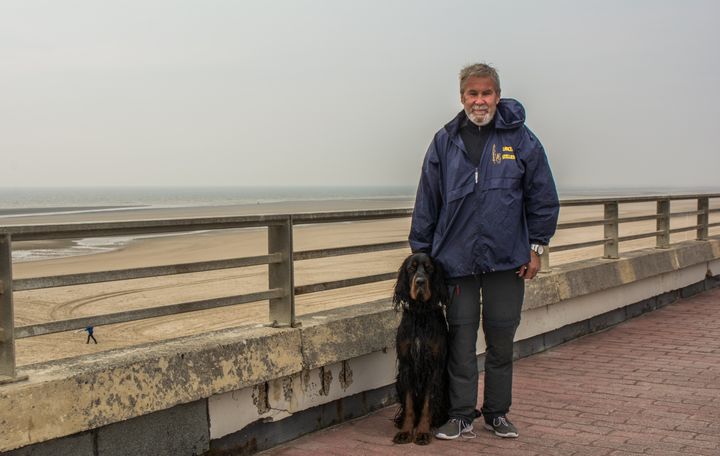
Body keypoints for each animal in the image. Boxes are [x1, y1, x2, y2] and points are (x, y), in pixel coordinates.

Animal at [390, 251, 448, 444]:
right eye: (411, 269)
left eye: (429, 268)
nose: (420, 282)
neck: (421, 313)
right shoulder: (406, 365)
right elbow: (409, 404)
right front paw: (406, 431)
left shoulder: (434, 367)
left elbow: (428, 404)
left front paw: (422, 432)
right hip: (398, 381)